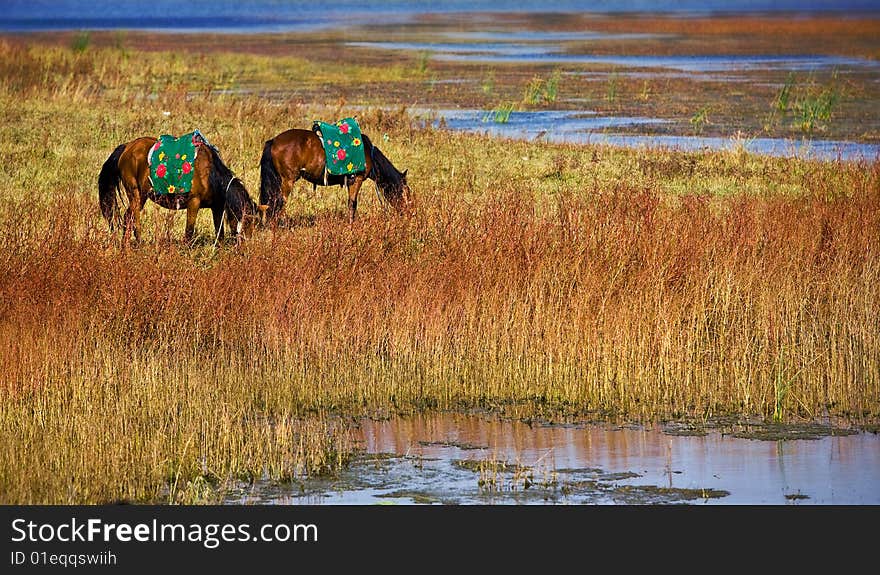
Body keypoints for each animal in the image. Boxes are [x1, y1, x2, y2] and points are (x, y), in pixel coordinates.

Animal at [98, 136, 264, 248]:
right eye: (247, 222)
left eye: (255, 223)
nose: (246, 248)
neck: (211, 175)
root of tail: (127, 147)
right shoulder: (194, 202)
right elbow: (189, 231)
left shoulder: (217, 207)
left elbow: (220, 233)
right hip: (137, 194)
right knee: (134, 219)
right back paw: (139, 243)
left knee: (128, 217)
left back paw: (125, 246)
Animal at [260, 126, 414, 225]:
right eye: (406, 192)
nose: (410, 213)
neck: (367, 153)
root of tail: (274, 141)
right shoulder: (356, 180)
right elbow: (352, 204)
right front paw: (351, 225)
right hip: (287, 180)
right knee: (280, 202)